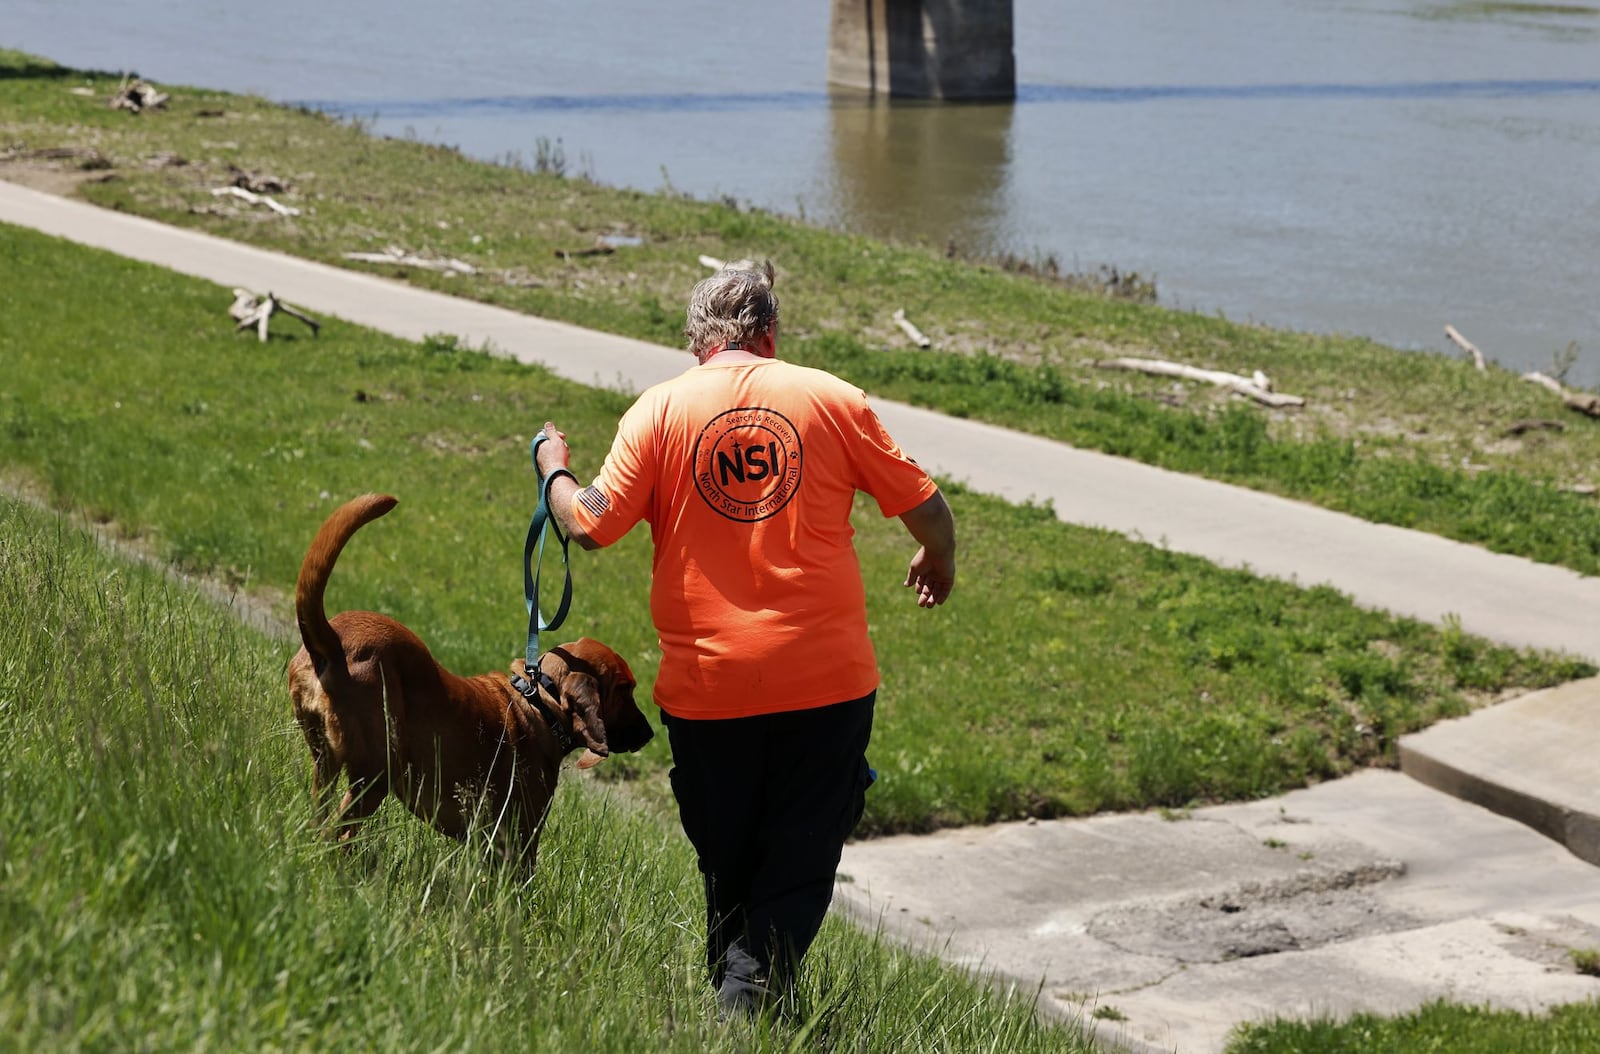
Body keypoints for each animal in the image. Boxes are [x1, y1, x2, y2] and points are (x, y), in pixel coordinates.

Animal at [284, 489, 652, 863]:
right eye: (625, 689)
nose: (650, 733)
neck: (541, 703)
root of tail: (332, 638)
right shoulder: (519, 846)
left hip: (326, 764)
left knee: (320, 819)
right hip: (374, 774)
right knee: (337, 831)